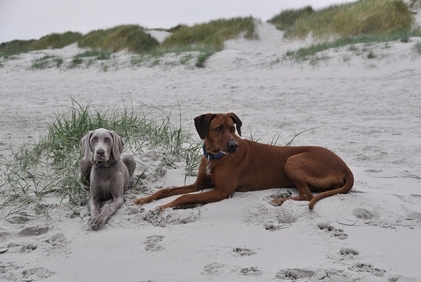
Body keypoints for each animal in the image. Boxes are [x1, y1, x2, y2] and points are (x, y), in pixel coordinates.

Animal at [134, 113, 352, 210]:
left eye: (233, 128)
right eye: (219, 129)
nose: (233, 146)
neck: (215, 157)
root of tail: (345, 167)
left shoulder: (222, 192)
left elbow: (184, 197)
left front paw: (164, 206)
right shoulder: (200, 183)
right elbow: (167, 189)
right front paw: (145, 199)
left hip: (292, 161)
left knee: (307, 196)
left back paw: (280, 200)